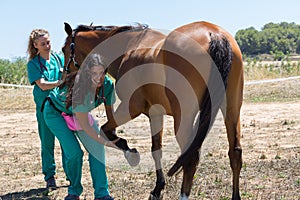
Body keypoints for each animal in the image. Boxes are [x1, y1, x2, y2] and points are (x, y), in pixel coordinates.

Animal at [62, 21, 243, 199]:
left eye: (64, 50)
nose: (65, 78)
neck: (129, 47)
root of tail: (214, 34)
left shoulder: (130, 108)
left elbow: (105, 130)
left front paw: (131, 154)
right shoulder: (155, 114)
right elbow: (156, 149)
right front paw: (157, 188)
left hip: (183, 118)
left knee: (191, 157)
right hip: (232, 110)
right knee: (235, 153)